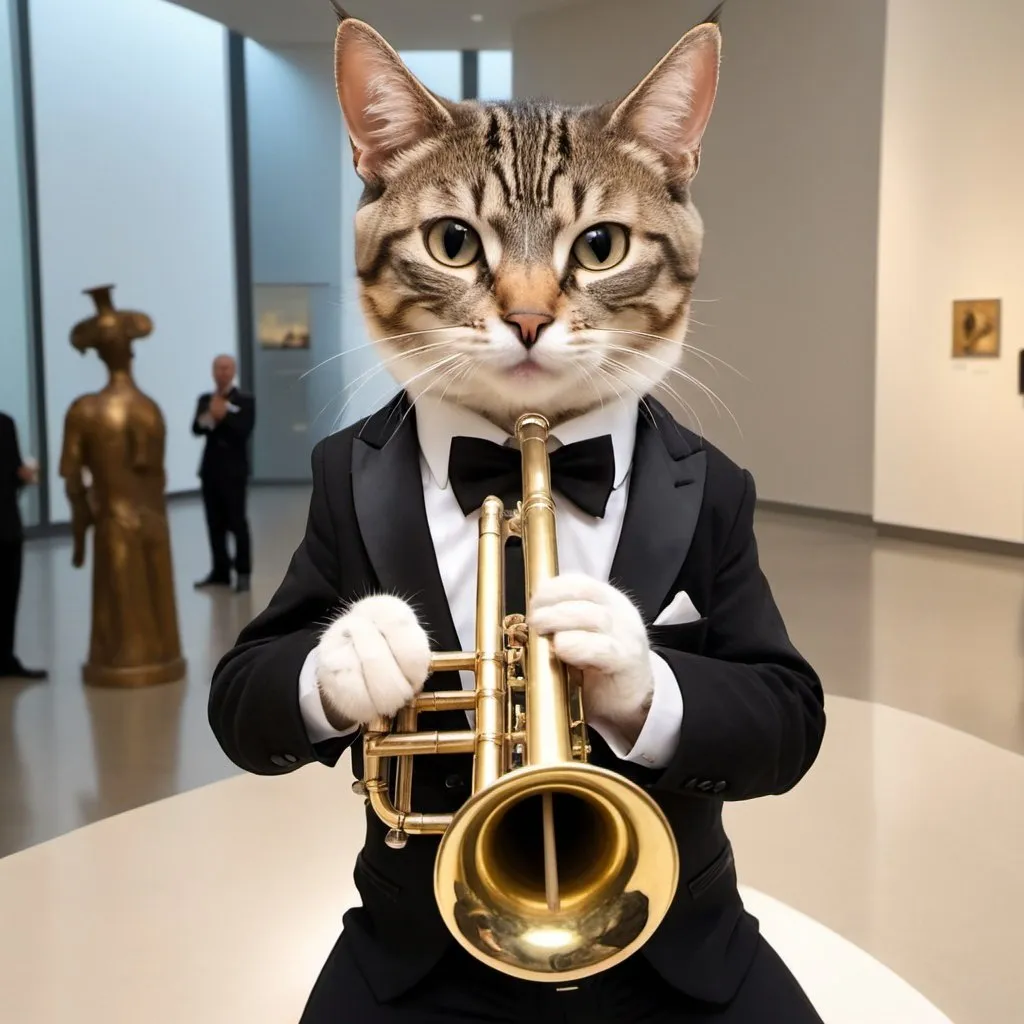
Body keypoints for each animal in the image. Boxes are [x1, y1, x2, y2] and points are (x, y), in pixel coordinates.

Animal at [311, 14, 720, 737]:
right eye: (452, 242)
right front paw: (368, 643)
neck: (502, 451)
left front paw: (609, 635)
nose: (528, 319)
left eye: (601, 247)